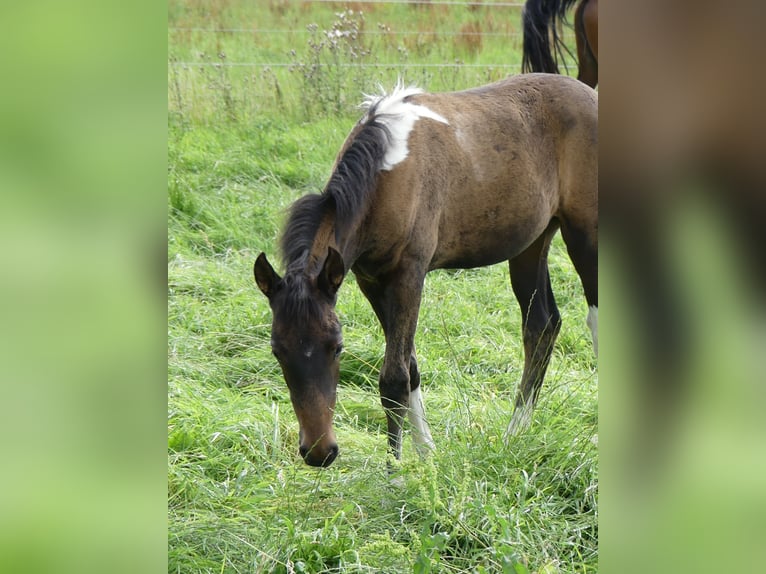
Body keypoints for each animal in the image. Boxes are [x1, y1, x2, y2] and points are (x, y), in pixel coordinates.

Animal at [254, 73, 600, 468]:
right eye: (277, 351)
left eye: (337, 347)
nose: (318, 452)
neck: (386, 174)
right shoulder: (370, 280)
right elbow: (411, 367)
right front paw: (427, 455)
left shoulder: (409, 274)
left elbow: (393, 378)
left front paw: (396, 472)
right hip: (531, 243)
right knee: (541, 327)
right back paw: (515, 436)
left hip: (585, 234)